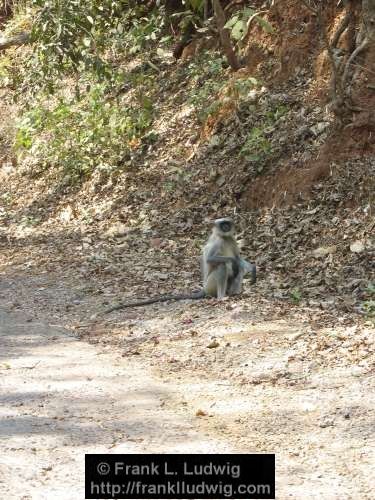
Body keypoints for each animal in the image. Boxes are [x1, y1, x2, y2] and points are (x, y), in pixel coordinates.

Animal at [106, 218, 258, 314]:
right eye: (222, 225)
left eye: (227, 224)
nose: (226, 227)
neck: (224, 237)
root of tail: (204, 288)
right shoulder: (217, 241)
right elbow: (213, 259)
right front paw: (232, 261)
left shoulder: (231, 239)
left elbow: (238, 259)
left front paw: (253, 269)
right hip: (210, 285)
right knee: (223, 265)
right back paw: (222, 297)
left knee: (238, 269)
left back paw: (235, 293)